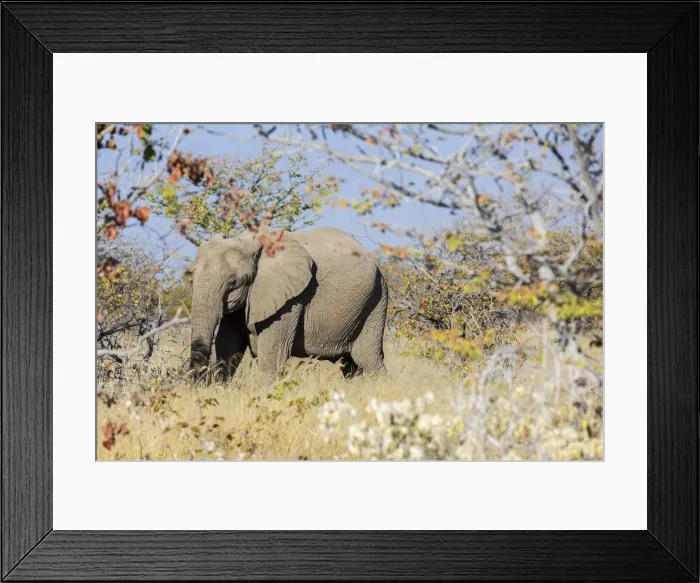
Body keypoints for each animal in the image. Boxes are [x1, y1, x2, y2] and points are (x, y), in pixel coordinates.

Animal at [188, 226, 388, 381]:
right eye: (191, 277)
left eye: (232, 282)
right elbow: (228, 344)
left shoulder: (289, 298)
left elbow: (272, 357)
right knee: (350, 365)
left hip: (376, 301)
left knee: (368, 359)